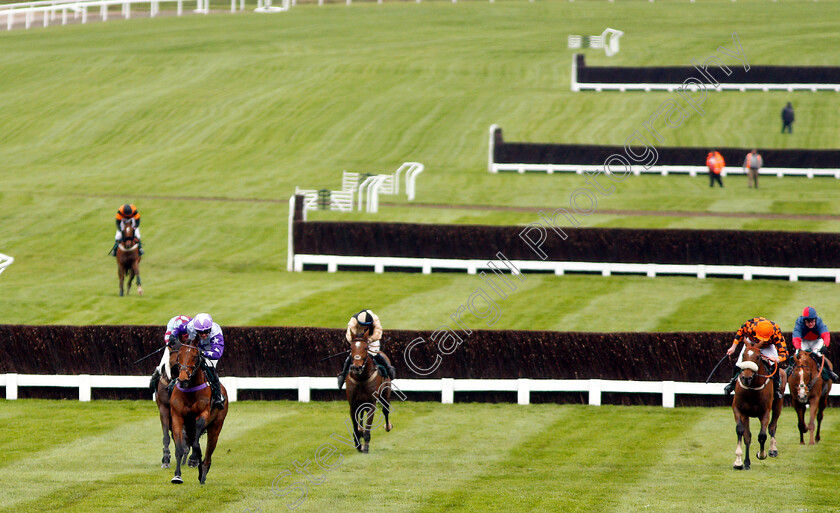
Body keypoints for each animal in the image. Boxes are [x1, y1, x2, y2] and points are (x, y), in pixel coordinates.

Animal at [169, 342, 228, 482]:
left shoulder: (203, 415)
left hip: (216, 427)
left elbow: (197, 443)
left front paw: (194, 458)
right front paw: (177, 476)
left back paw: (203, 473)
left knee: (208, 452)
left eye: (195, 356)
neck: (190, 390)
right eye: (179, 355)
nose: (183, 379)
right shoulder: (177, 417)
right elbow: (180, 448)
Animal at [732, 342, 784, 470]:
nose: (746, 378)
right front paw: (740, 462)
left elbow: (762, 435)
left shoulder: (764, 412)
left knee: (772, 426)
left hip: (778, 405)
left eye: (758, 357)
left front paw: (761, 454)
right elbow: (742, 432)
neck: (752, 388)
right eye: (743, 355)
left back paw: (772, 449)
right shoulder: (739, 410)